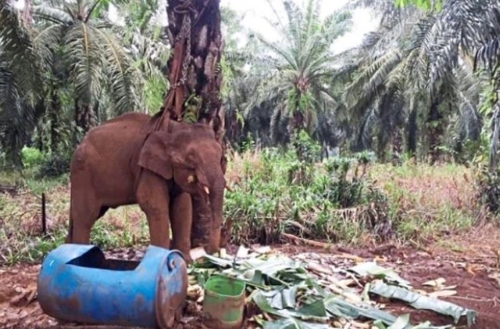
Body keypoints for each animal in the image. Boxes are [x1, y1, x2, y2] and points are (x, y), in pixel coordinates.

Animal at [65, 111, 226, 262]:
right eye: (191, 160)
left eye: (221, 157)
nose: (212, 252)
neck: (172, 128)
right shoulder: (146, 168)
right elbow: (155, 206)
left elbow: (183, 208)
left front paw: (186, 262)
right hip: (83, 174)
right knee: (86, 217)